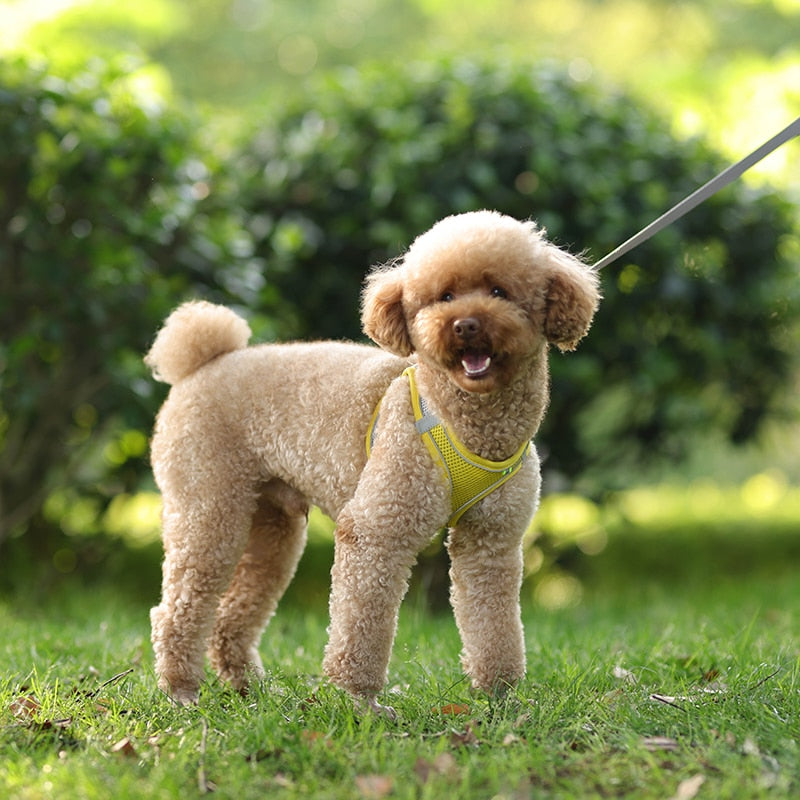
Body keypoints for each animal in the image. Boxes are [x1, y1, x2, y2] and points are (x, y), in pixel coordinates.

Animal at [145, 209, 600, 716]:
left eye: (499, 291)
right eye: (443, 297)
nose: (464, 325)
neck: (466, 421)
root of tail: (201, 365)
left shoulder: (492, 543)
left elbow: (494, 623)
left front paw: (500, 698)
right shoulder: (376, 531)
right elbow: (361, 623)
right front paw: (359, 702)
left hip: (273, 527)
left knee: (234, 609)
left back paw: (248, 688)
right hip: (208, 506)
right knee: (177, 607)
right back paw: (181, 690)